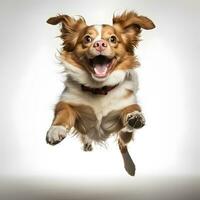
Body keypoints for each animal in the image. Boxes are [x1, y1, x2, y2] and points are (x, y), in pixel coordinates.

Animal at [45, 10, 155, 176]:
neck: (99, 89)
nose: (100, 44)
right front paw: (56, 129)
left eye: (113, 39)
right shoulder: (67, 100)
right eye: (87, 39)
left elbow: (128, 120)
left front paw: (135, 117)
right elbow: (63, 111)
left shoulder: (125, 108)